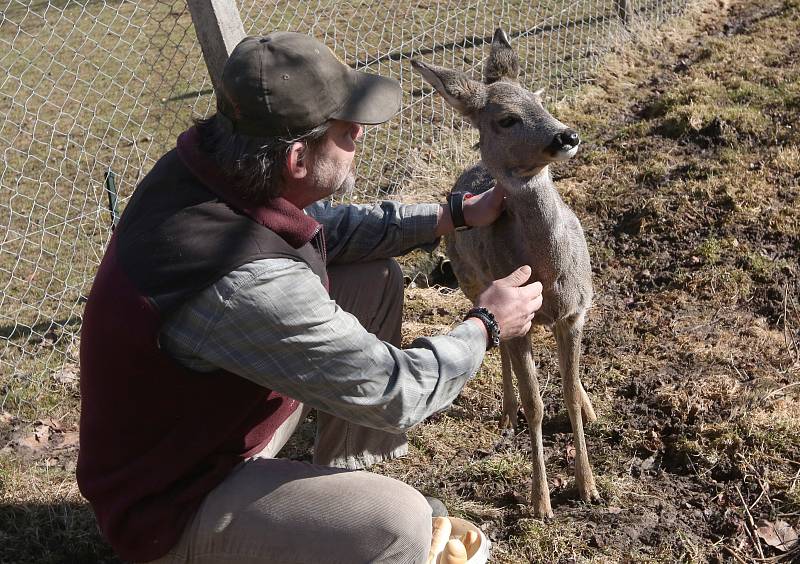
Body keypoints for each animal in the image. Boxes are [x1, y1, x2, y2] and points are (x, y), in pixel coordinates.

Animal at [412, 28, 600, 516]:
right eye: (507, 120)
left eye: (539, 99)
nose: (566, 135)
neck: (549, 277)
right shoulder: (518, 315)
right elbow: (537, 404)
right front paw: (542, 502)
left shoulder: (576, 313)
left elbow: (567, 392)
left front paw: (588, 485)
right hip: (472, 284)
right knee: (500, 353)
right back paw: (506, 413)